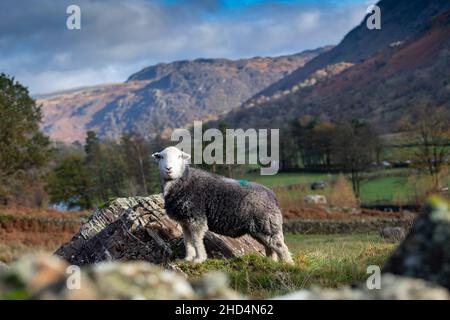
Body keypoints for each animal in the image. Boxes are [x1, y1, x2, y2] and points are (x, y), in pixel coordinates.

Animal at [151, 146, 294, 264]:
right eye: (161, 157)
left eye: (179, 156)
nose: (168, 169)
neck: (183, 181)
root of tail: (272, 195)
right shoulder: (184, 221)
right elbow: (188, 241)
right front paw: (188, 259)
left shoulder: (197, 218)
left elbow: (196, 240)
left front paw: (199, 259)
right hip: (259, 229)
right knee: (270, 247)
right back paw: (271, 262)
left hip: (267, 224)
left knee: (280, 247)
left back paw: (287, 265)